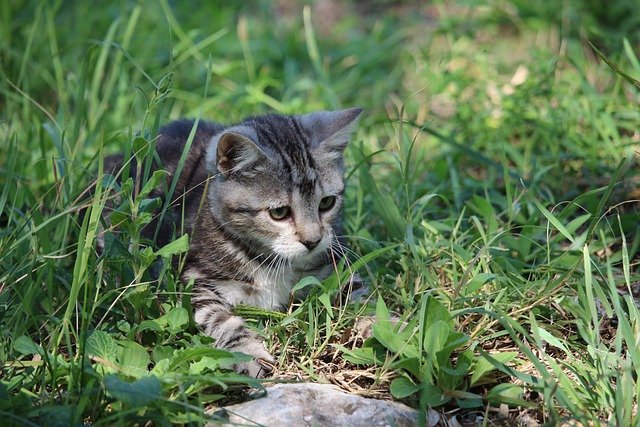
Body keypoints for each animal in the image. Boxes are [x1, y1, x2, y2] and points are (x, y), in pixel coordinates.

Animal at [105, 108, 364, 378]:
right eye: (279, 212)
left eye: (327, 203)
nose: (313, 241)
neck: (272, 259)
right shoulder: (190, 281)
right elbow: (220, 320)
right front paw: (248, 353)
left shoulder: (336, 266)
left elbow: (358, 297)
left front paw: (375, 325)